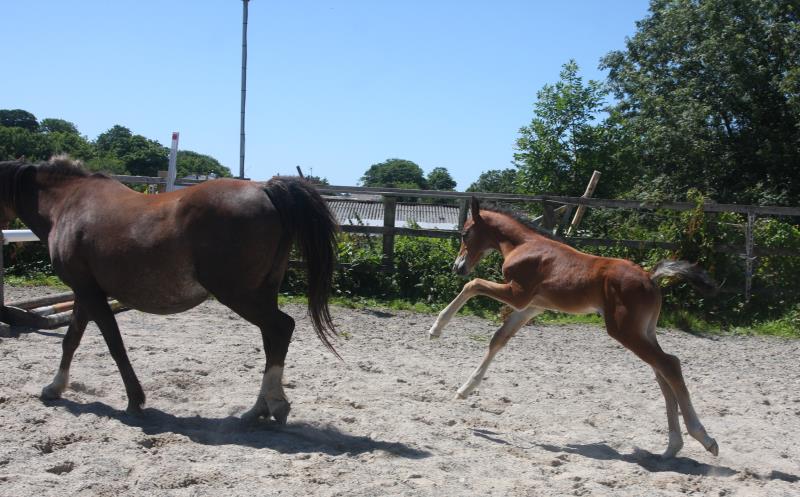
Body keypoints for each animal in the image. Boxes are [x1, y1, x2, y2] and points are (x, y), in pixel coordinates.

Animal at [0, 156, 340, 422]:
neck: (68, 202)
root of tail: (265, 188)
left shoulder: (89, 292)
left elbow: (114, 344)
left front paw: (135, 399)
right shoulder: (85, 292)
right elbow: (71, 340)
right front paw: (55, 387)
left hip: (240, 295)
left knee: (281, 328)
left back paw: (271, 405)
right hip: (262, 292)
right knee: (272, 338)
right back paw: (261, 407)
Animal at [428, 198, 720, 458]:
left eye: (465, 233)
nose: (457, 267)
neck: (524, 245)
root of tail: (650, 276)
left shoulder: (518, 294)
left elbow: (474, 285)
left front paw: (436, 329)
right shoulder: (532, 306)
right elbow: (498, 339)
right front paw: (465, 389)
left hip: (623, 330)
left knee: (669, 364)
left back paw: (704, 439)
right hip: (644, 330)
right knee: (661, 372)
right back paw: (672, 447)